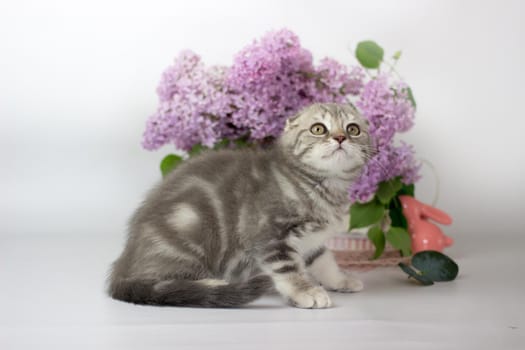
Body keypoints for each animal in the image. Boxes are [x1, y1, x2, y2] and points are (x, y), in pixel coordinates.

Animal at [106, 102, 370, 308]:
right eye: (318, 129)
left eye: (353, 129)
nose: (340, 137)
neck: (324, 186)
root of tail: (123, 265)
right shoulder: (268, 234)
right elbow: (287, 268)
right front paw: (305, 291)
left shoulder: (312, 240)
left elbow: (324, 260)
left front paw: (340, 279)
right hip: (186, 233)